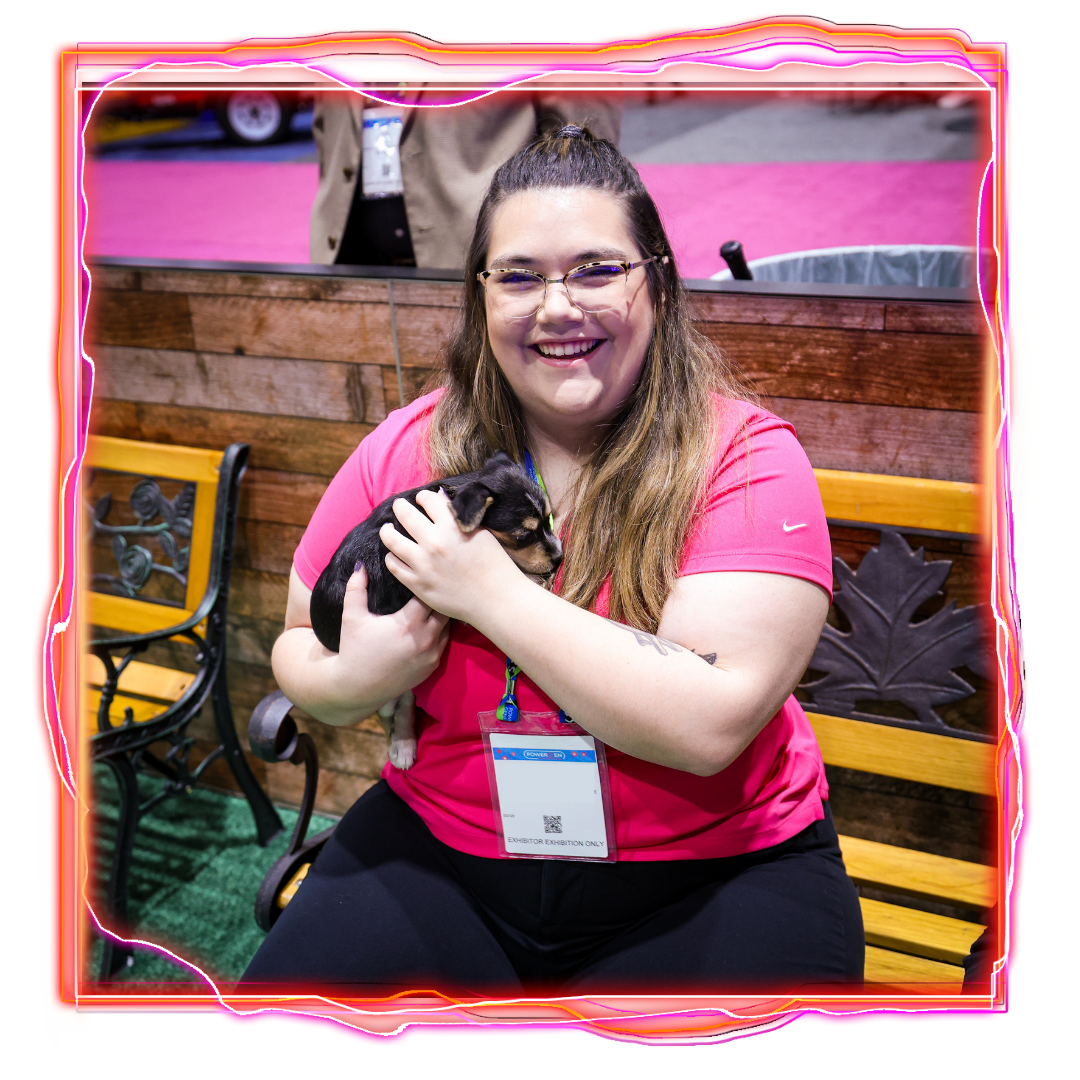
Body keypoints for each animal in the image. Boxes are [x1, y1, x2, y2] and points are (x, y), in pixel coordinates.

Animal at [311, 451, 565, 773]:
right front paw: (539, 580)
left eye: (548, 520)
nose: (559, 558)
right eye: (522, 536)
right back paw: (402, 744)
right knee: (396, 703)